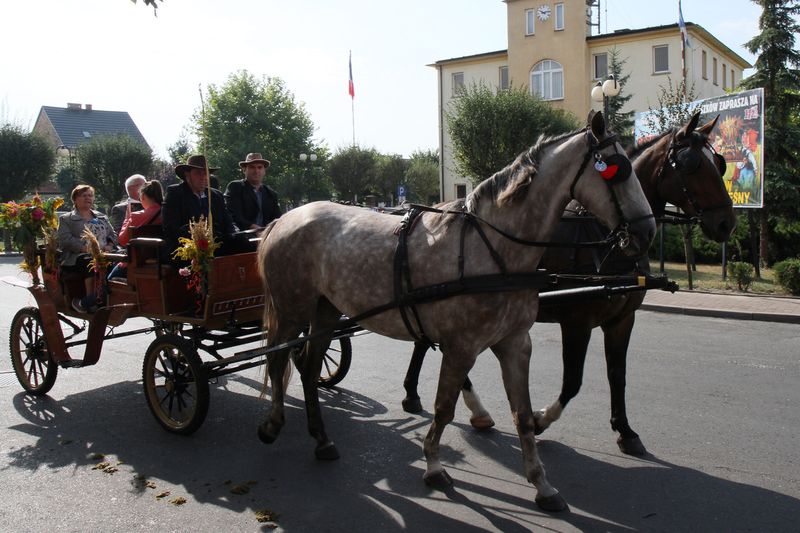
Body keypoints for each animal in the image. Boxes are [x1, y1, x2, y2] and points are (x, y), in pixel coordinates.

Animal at [256, 110, 656, 510]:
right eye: (617, 170)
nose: (647, 233)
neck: (493, 248)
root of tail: (285, 218)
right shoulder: (462, 346)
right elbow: (444, 408)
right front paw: (434, 464)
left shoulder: (515, 344)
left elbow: (523, 415)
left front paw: (541, 482)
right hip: (291, 310)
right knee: (277, 359)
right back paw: (273, 422)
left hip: (324, 312)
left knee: (308, 367)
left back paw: (321, 439)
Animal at [404, 110, 736, 456]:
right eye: (690, 164)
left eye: (719, 164)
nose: (727, 223)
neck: (603, 239)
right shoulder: (577, 321)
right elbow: (573, 380)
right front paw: (539, 420)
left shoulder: (622, 320)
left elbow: (618, 375)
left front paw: (625, 430)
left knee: (424, 340)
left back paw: (418, 395)